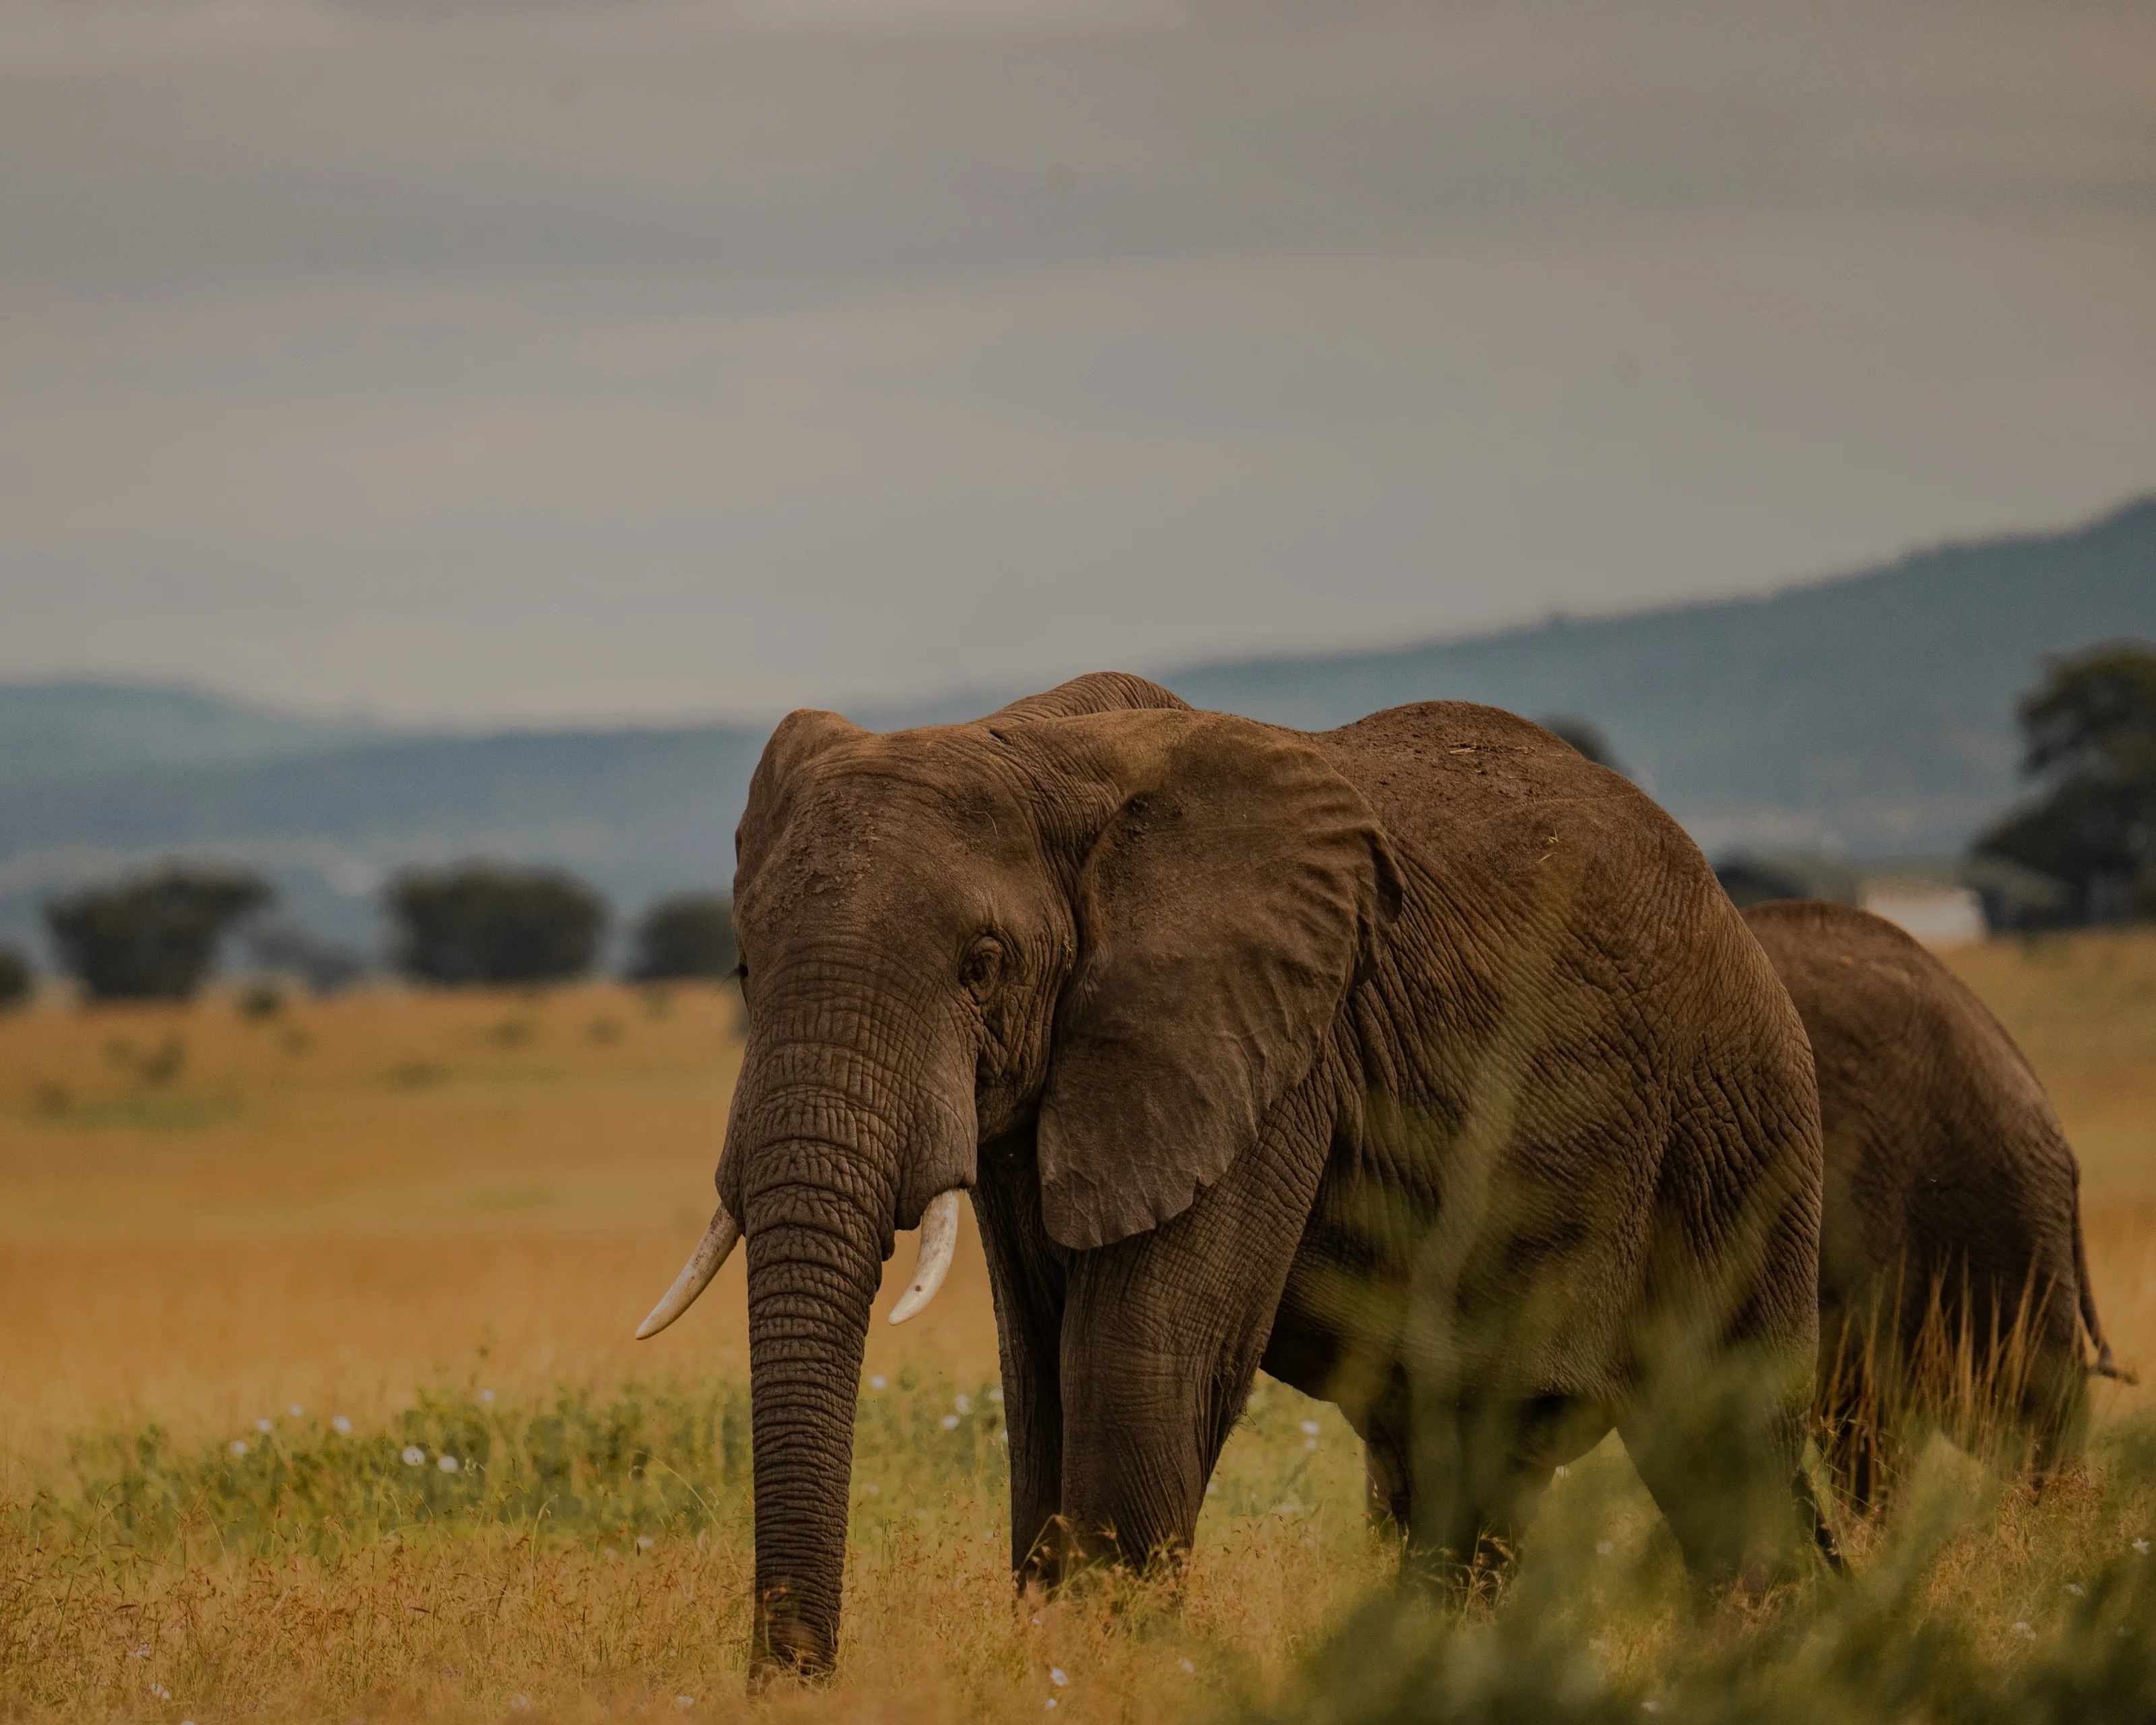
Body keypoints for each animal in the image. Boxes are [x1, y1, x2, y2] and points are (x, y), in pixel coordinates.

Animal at [636, 672, 1827, 1676]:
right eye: (743, 968)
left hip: (1737, 1127)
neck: (1042, 748)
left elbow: (1138, 1357)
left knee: (1726, 1447)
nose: (796, 1682)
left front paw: (1102, 1673)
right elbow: (1040, 1370)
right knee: (1464, 1460)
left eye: (981, 966)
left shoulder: (1273, 1051)